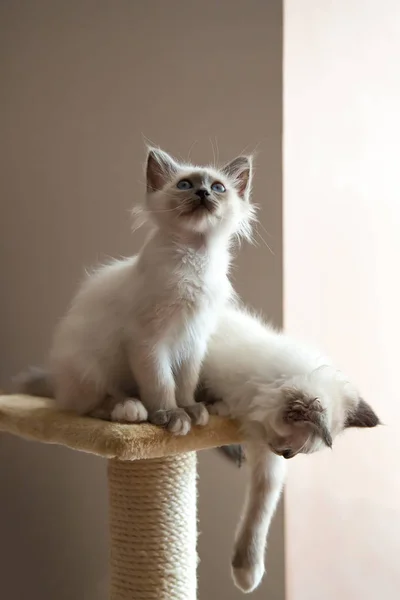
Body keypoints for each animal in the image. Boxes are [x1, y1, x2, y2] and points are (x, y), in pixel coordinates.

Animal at [15, 148, 255, 434]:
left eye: (218, 188)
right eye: (185, 185)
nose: (203, 193)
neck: (195, 259)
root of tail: (55, 378)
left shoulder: (194, 341)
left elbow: (186, 383)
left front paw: (191, 409)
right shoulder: (148, 341)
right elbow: (162, 383)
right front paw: (172, 415)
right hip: (89, 367)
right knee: (87, 405)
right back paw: (130, 409)